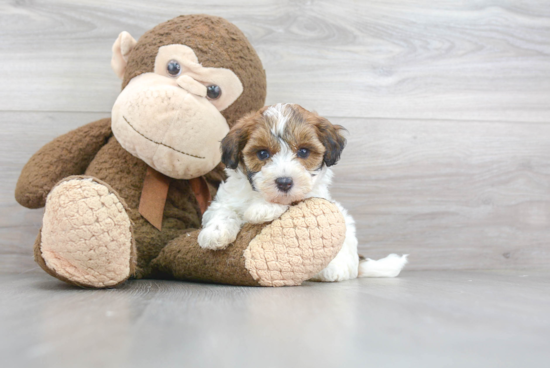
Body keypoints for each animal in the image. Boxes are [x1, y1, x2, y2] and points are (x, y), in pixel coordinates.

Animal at [199, 103, 410, 282]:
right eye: (262, 154)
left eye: (303, 152)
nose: (284, 182)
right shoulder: (226, 198)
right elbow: (223, 211)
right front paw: (214, 233)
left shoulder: (313, 196)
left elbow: (292, 202)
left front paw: (262, 209)